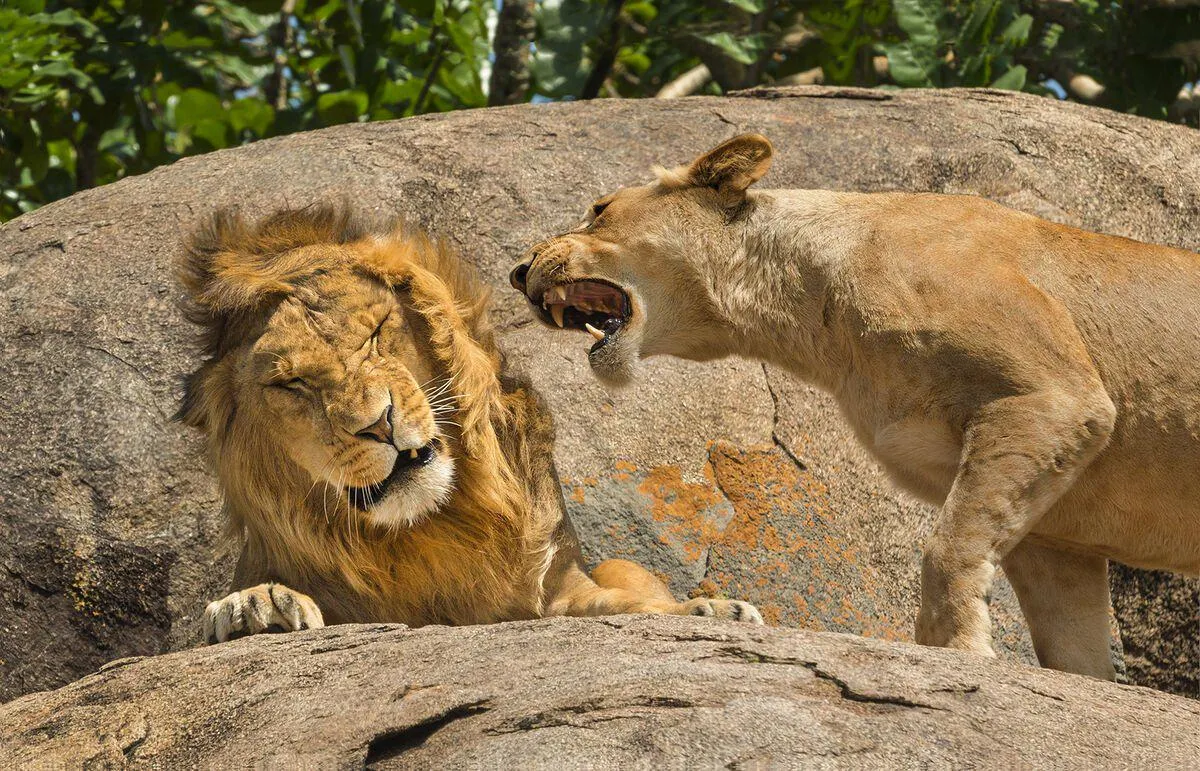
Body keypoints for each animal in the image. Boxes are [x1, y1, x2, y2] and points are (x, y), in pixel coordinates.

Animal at [177, 204, 762, 642]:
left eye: (376, 332)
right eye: (291, 384)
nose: (379, 424)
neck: (432, 528)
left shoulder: (558, 586)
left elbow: (619, 605)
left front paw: (710, 610)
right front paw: (254, 606)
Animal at [509, 134, 1200, 680]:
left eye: (599, 210)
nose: (518, 271)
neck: (812, 313)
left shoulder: (1053, 398)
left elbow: (947, 548)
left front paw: (955, 653)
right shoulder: (1056, 529)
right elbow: (1071, 645)